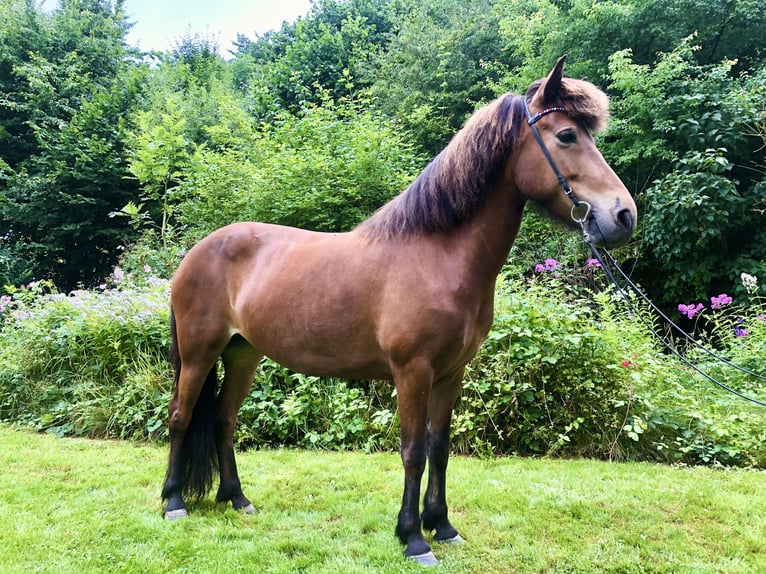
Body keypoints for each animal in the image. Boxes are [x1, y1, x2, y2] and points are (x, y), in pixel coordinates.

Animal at [161, 56, 637, 565]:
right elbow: (412, 452)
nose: (623, 215)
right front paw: (413, 537)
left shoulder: (450, 373)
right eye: (566, 135)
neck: (437, 255)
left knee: (224, 421)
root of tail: (196, 253)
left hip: (243, 354)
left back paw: (237, 498)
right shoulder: (413, 371)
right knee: (180, 417)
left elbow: (440, 448)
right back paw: (172, 501)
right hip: (199, 353)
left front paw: (442, 526)